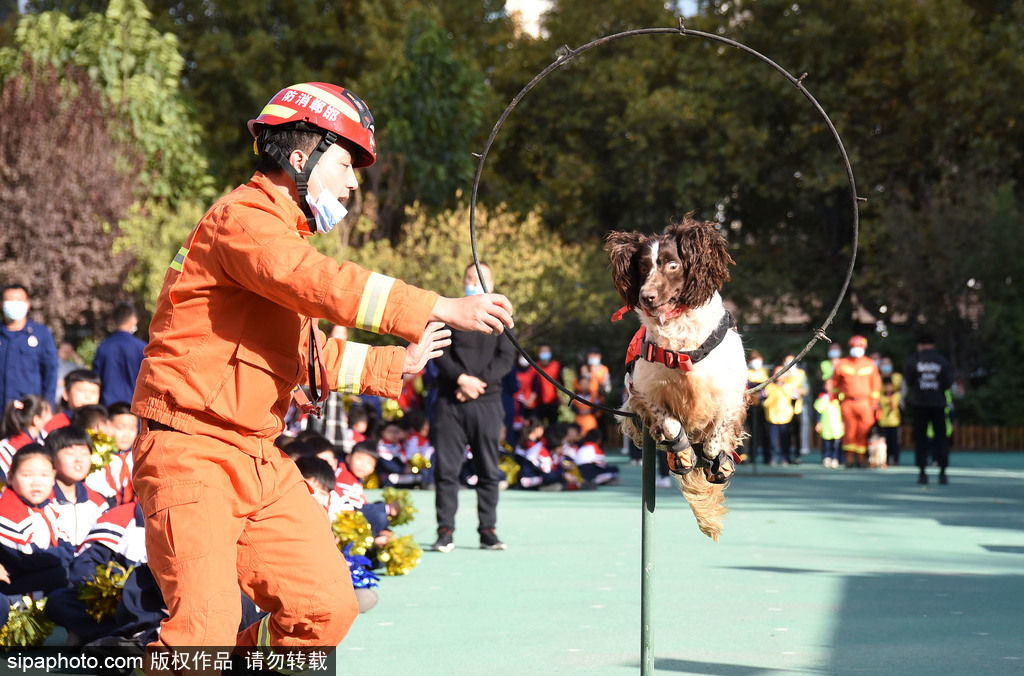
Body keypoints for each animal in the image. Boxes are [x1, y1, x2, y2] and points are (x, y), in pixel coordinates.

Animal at [602, 214, 749, 540]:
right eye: (643, 266)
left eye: (672, 264)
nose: (646, 297)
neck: (683, 340)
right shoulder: (640, 389)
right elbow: (668, 423)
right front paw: (681, 453)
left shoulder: (731, 392)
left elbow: (715, 439)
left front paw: (717, 460)